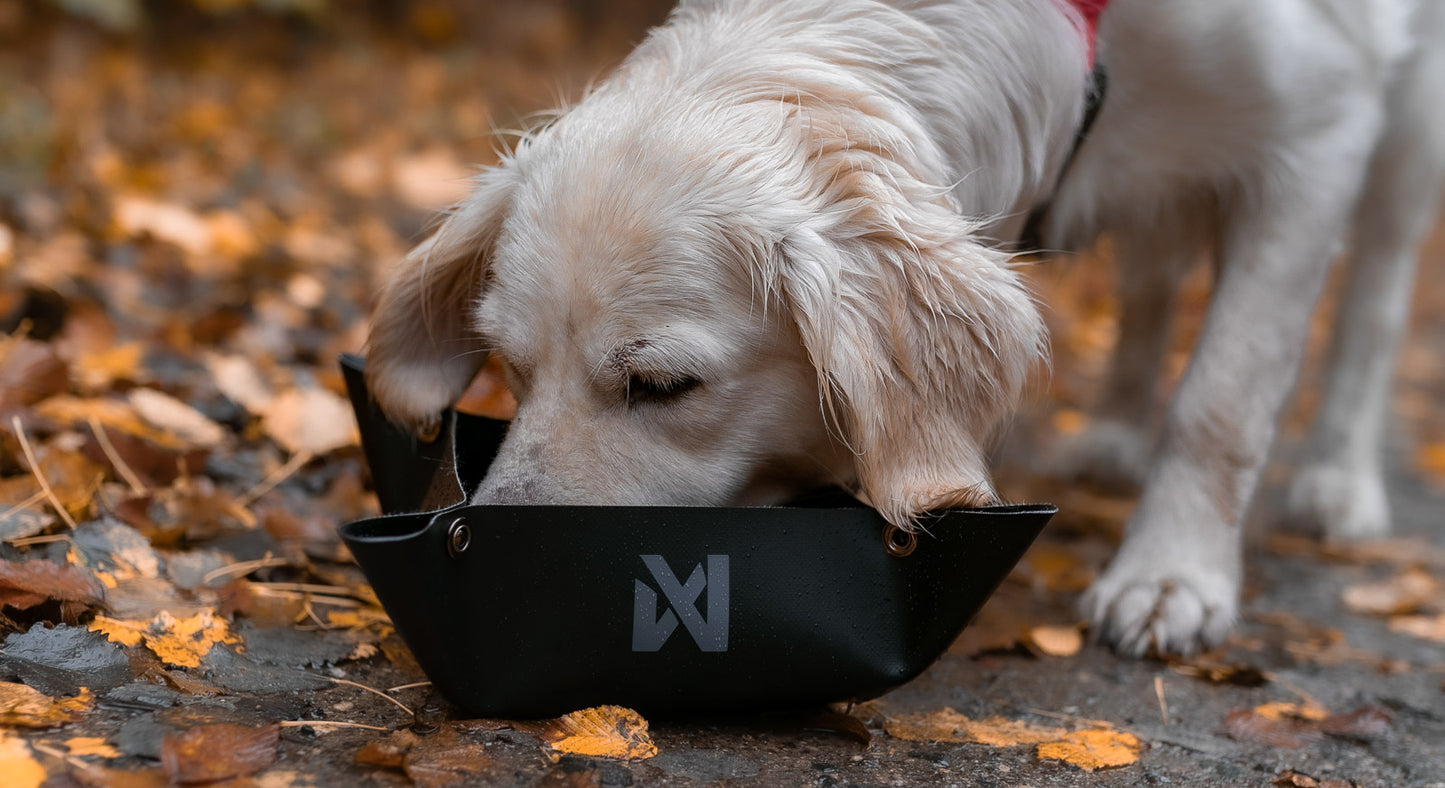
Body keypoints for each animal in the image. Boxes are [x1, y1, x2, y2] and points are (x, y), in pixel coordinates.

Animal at [364, 0, 1445, 653]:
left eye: (662, 386)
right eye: (509, 368)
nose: (480, 570)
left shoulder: (1320, 131)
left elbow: (1222, 396)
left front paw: (1173, 573)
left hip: (1403, 130)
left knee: (1375, 294)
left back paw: (1336, 479)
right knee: (1151, 281)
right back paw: (1113, 431)